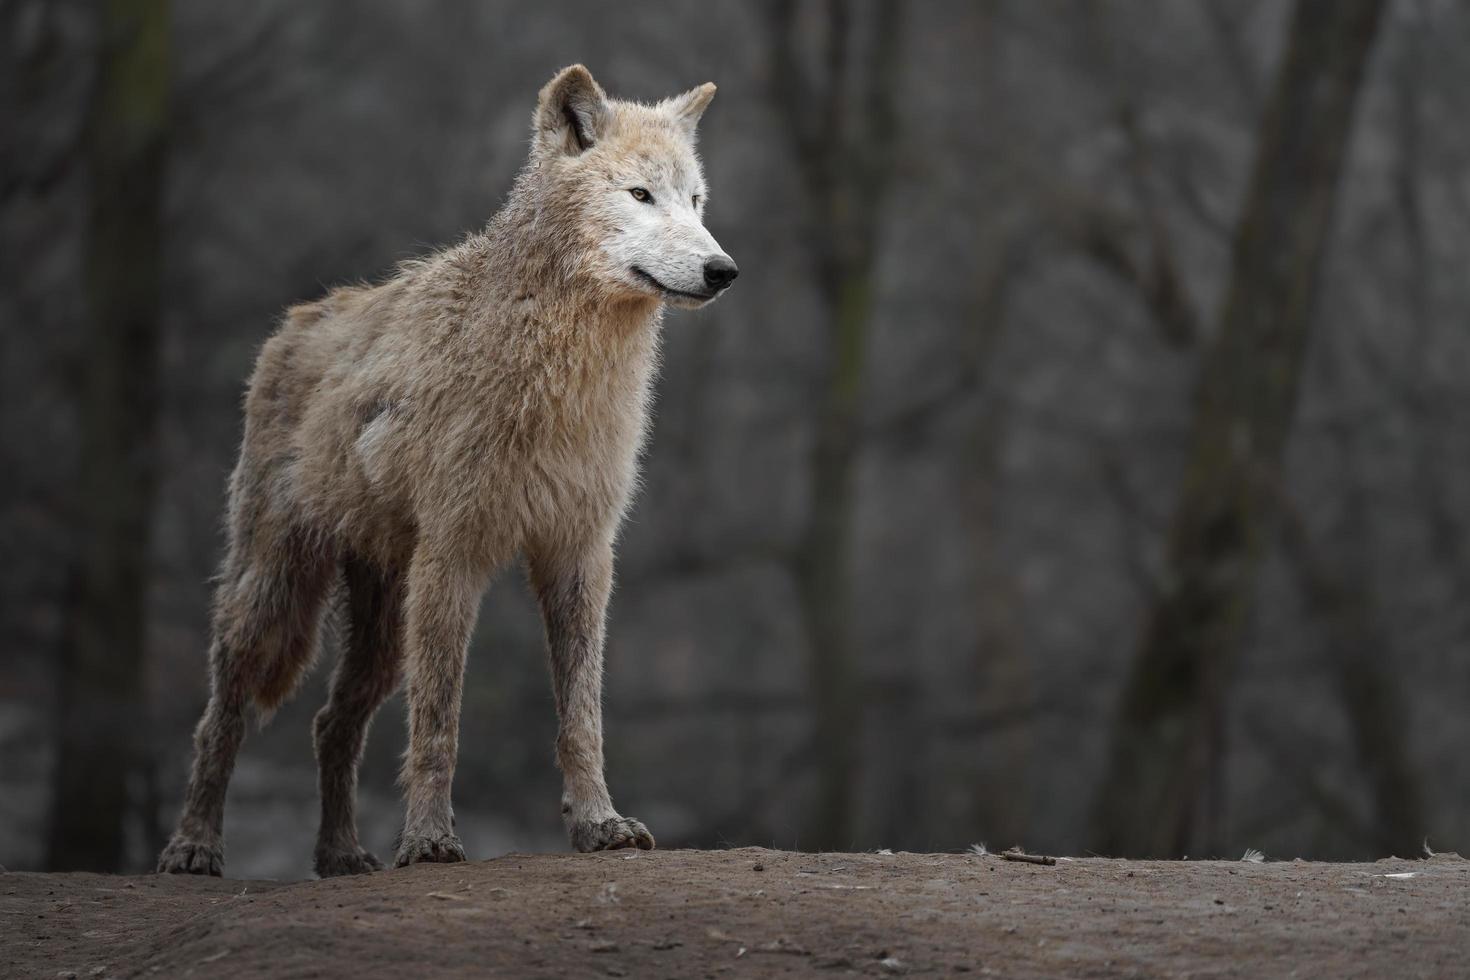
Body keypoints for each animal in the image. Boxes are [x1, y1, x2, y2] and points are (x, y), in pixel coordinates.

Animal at [158, 65, 735, 875]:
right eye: (640, 195)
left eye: (696, 201)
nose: (723, 270)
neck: (562, 378)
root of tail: (291, 324)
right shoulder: (454, 557)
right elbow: (439, 720)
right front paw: (429, 841)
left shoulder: (580, 556)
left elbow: (581, 717)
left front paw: (600, 825)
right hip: (276, 593)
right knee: (221, 717)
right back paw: (194, 846)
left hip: (382, 621)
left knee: (331, 721)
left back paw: (341, 855)